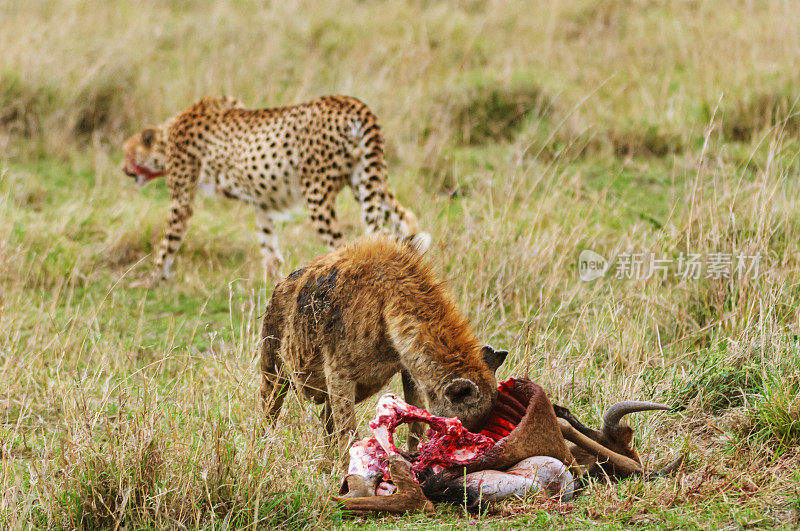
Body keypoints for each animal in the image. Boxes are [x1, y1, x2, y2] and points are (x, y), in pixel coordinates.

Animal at [119, 95, 428, 286]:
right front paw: (273, 282)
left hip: (318, 193)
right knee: (407, 221)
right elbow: (268, 245)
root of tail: (352, 103)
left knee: (344, 245)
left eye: (127, 153)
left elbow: (167, 243)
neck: (168, 135)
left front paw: (152, 279)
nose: (123, 169)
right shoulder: (263, 204)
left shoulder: (181, 201)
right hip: (367, 181)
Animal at [258, 237, 506, 458]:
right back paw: (263, 450)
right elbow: (348, 430)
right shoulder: (338, 369)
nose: (476, 446)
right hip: (274, 355)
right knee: (270, 403)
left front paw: (415, 456)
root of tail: (280, 285)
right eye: (462, 429)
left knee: (325, 415)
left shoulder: (406, 363)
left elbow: (415, 418)